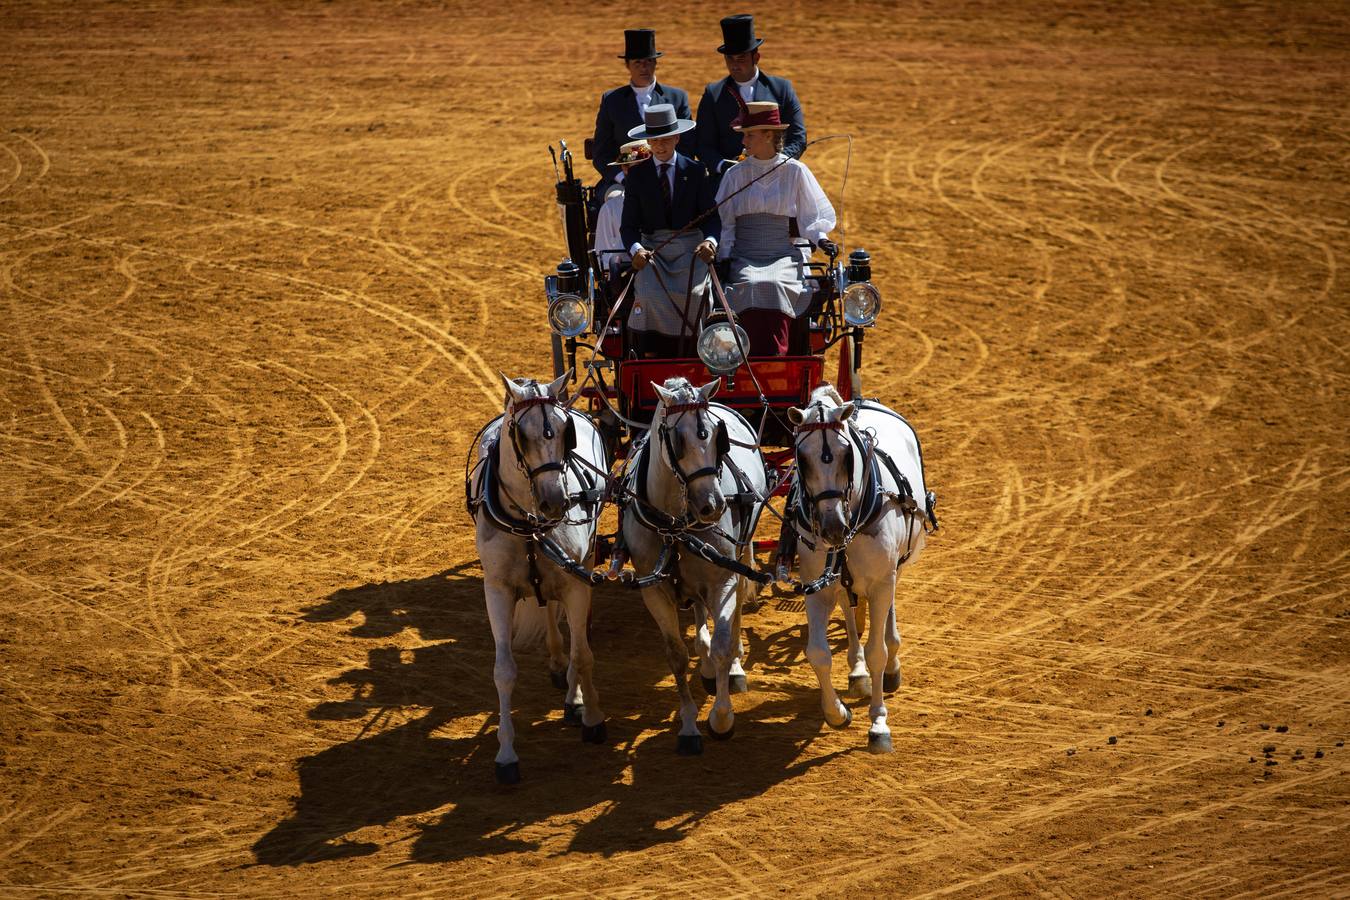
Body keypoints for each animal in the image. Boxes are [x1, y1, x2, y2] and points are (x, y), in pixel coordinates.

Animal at [469, 369, 607, 782]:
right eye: (521, 434)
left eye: (564, 432)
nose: (555, 501)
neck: (529, 524)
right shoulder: (497, 590)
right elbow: (504, 671)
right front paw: (506, 755)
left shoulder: (577, 582)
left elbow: (584, 654)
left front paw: (591, 717)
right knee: (548, 608)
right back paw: (557, 662)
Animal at [621, 375, 772, 755]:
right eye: (676, 440)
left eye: (716, 437)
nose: (713, 505)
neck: (676, 524)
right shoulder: (653, 589)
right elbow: (676, 655)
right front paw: (689, 725)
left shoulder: (723, 580)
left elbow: (723, 643)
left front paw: (722, 718)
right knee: (699, 611)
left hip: (738, 556)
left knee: (731, 615)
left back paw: (732, 666)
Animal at [788, 383, 934, 750]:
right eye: (801, 457)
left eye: (846, 454)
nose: (832, 528)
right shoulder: (816, 587)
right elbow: (818, 652)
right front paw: (836, 712)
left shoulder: (882, 580)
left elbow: (877, 651)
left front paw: (879, 723)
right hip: (841, 579)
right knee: (849, 608)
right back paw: (857, 672)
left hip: (895, 566)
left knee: (887, 612)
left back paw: (891, 663)